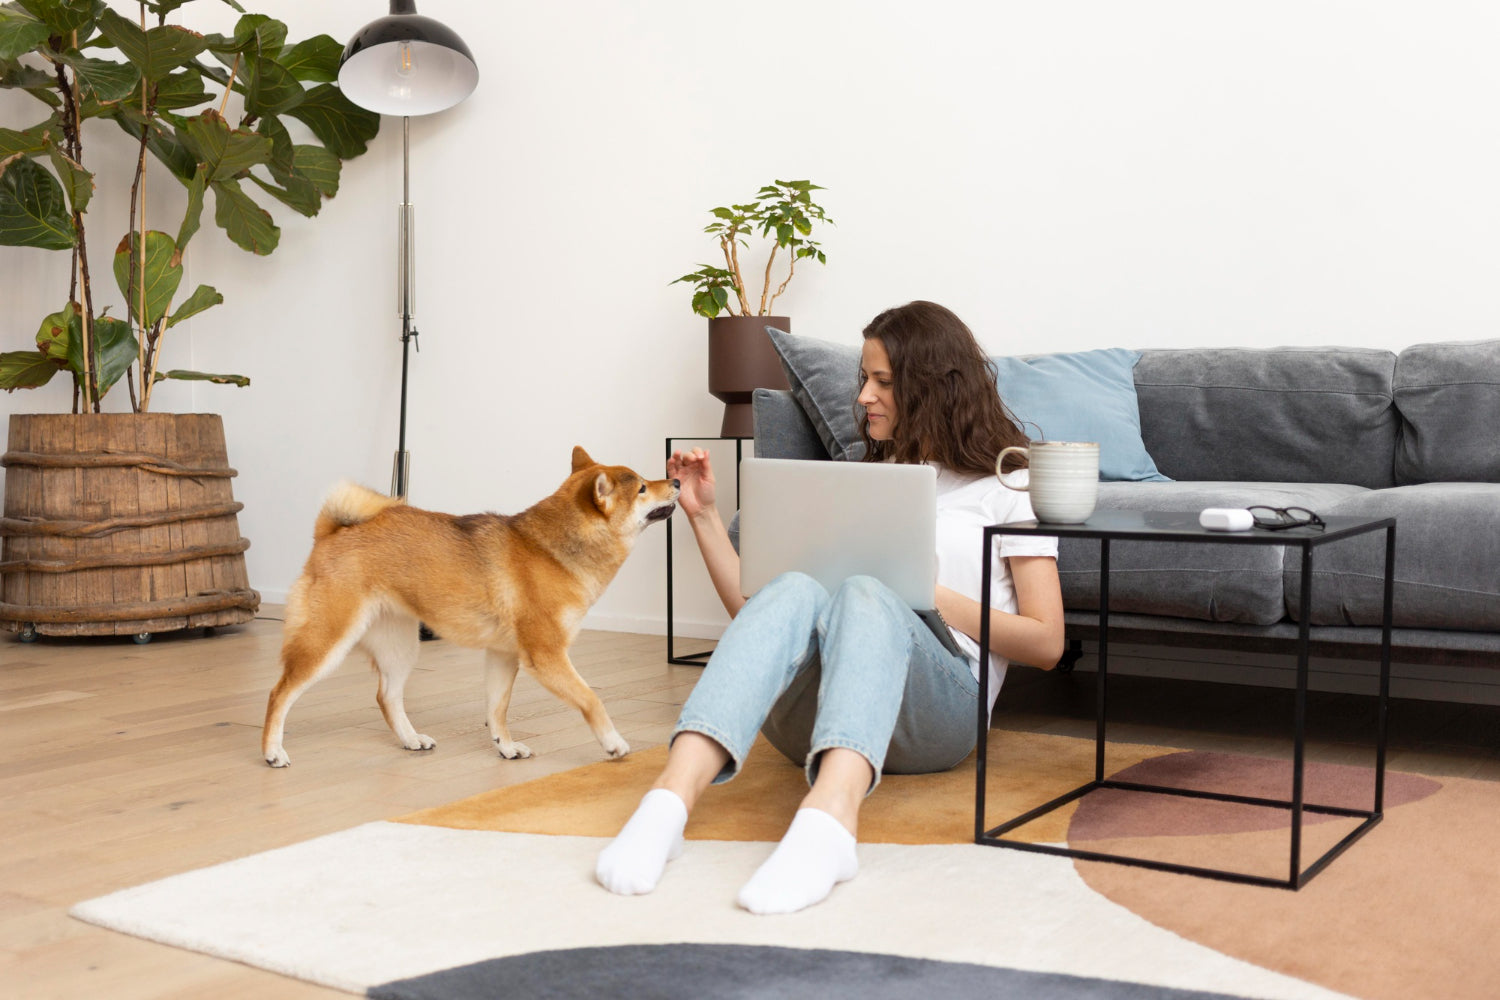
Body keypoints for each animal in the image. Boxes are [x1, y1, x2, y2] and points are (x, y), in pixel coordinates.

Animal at [261, 449, 678, 773]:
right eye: (642, 487)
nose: (675, 479)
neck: (552, 551)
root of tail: (332, 532)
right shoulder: (545, 656)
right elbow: (592, 700)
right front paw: (613, 742)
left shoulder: (503, 655)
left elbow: (497, 709)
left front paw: (505, 747)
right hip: (327, 643)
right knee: (279, 693)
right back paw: (272, 751)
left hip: (400, 647)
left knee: (387, 697)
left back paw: (411, 738)